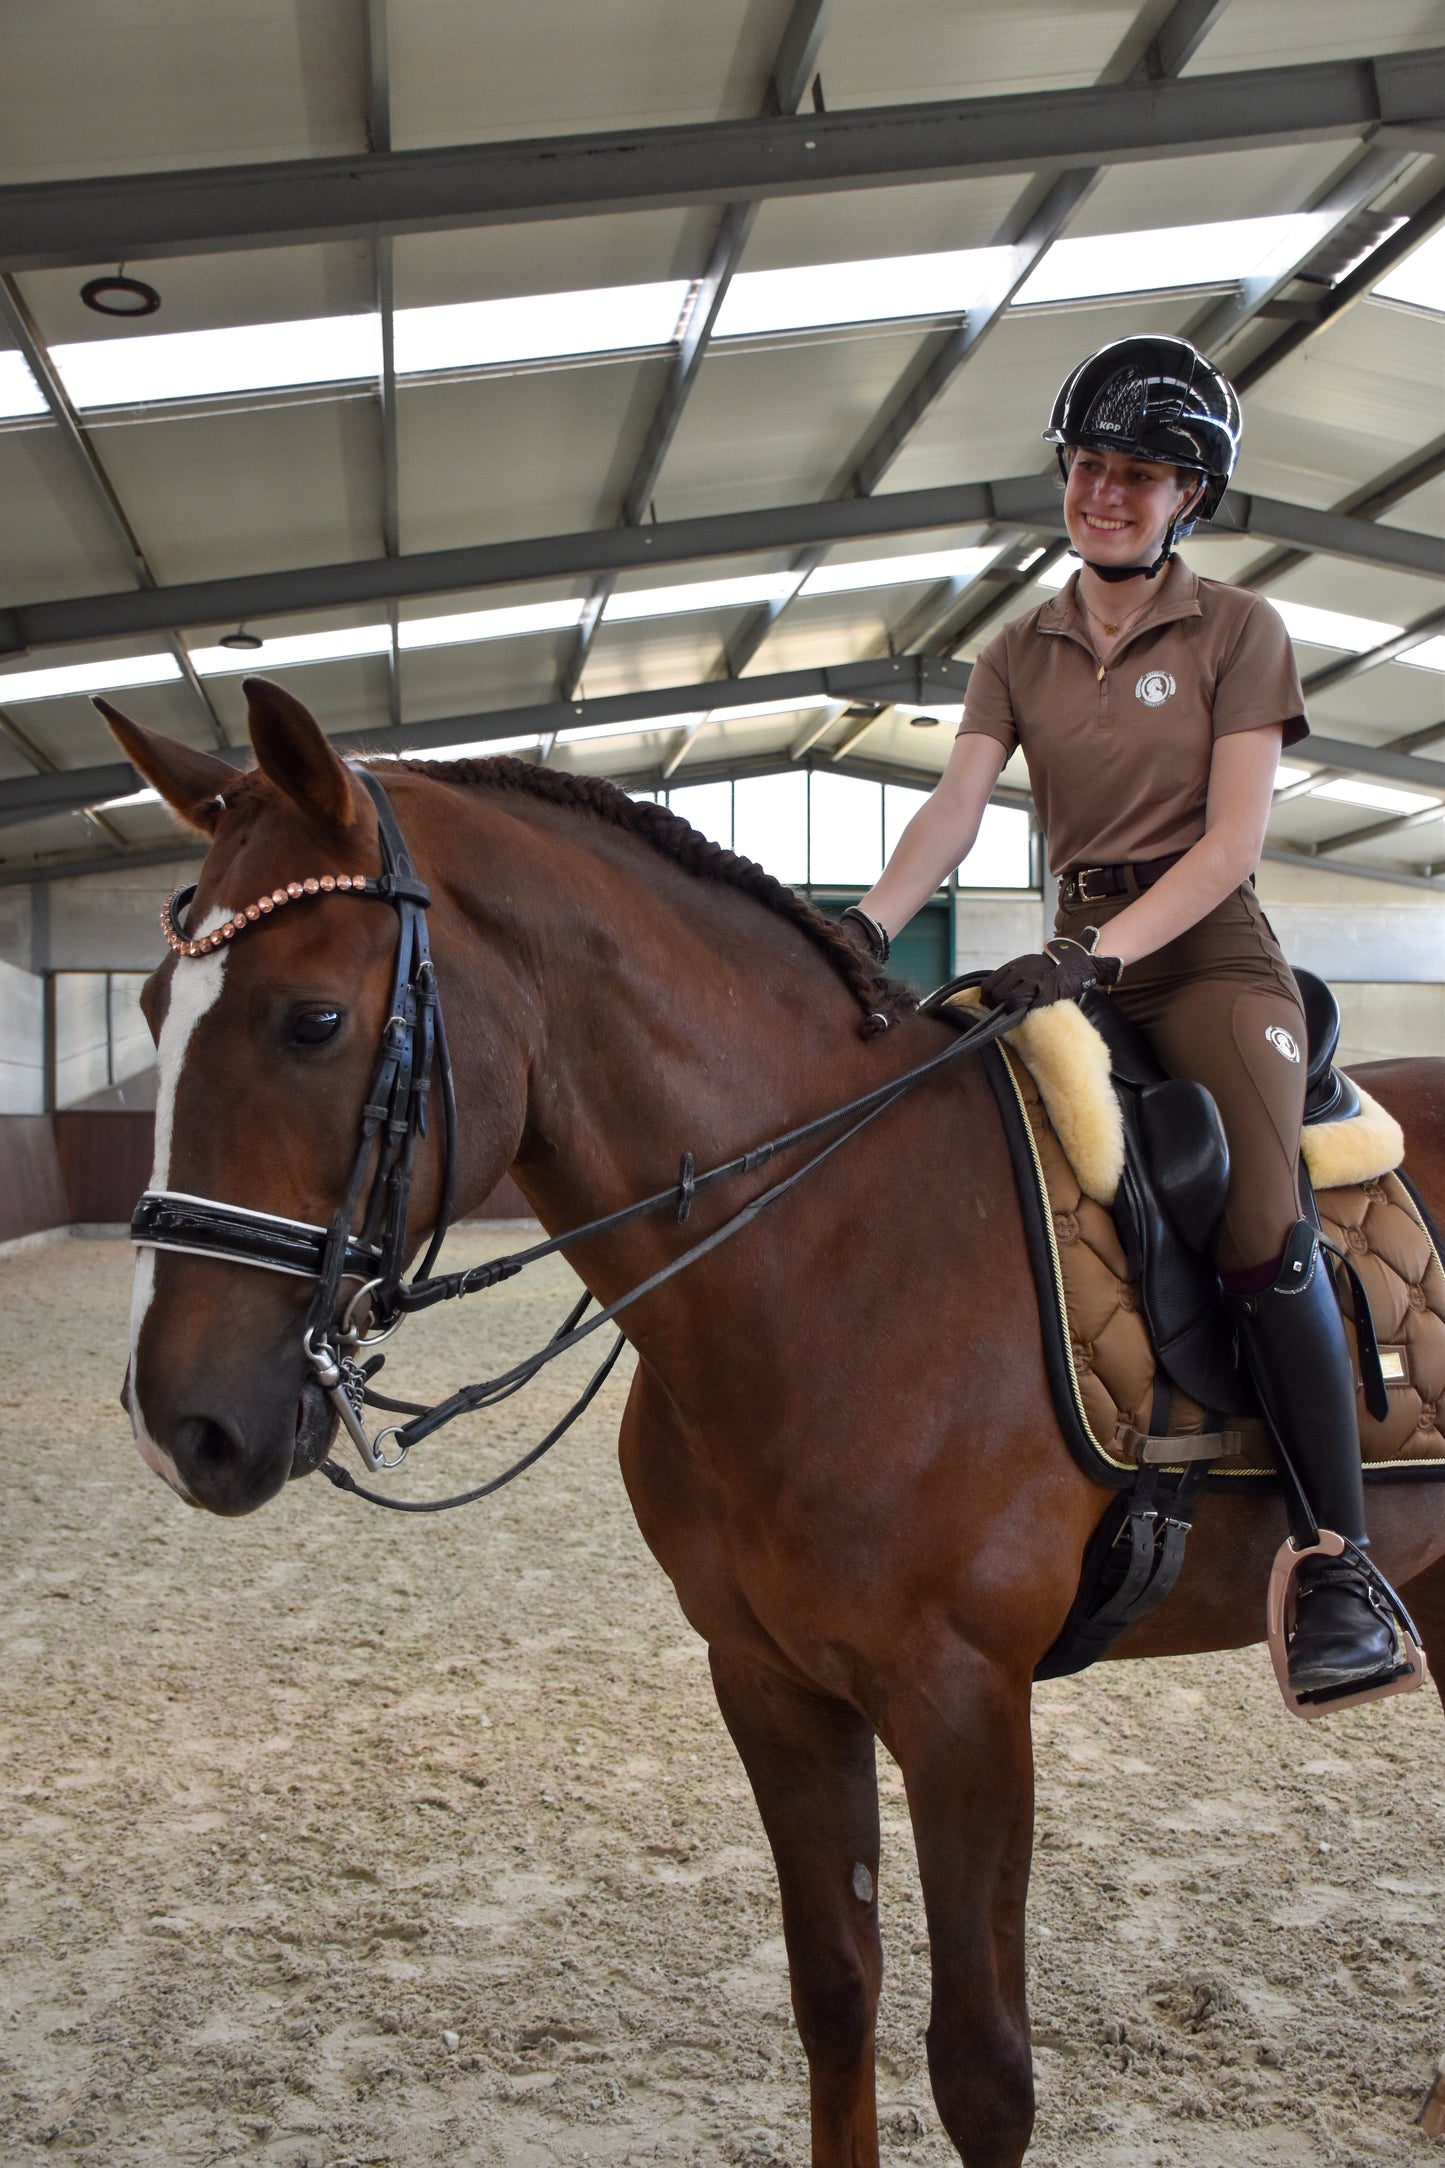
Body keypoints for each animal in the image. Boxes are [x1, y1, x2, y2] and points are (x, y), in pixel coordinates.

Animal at [104, 676, 1445, 2168]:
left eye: (313, 1022)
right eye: (152, 1001)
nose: (179, 1423)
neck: (824, 1247)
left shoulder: (965, 1704)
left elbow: (983, 2066)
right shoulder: (770, 1682)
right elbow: (834, 1992)